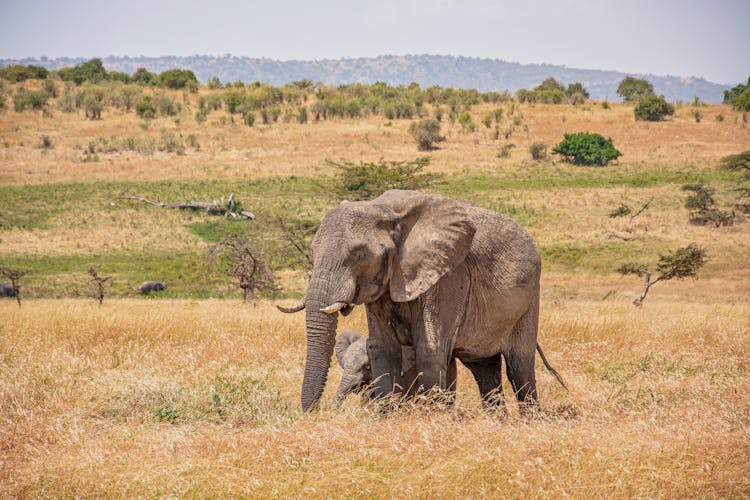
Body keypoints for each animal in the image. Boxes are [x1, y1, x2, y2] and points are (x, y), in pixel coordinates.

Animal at [282, 189, 548, 412]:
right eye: (313, 251)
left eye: (359, 255)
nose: (314, 412)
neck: (385, 210)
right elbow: (382, 348)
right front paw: (385, 417)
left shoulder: (448, 275)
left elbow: (429, 349)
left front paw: (430, 417)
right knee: (484, 369)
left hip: (529, 300)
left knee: (519, 368)